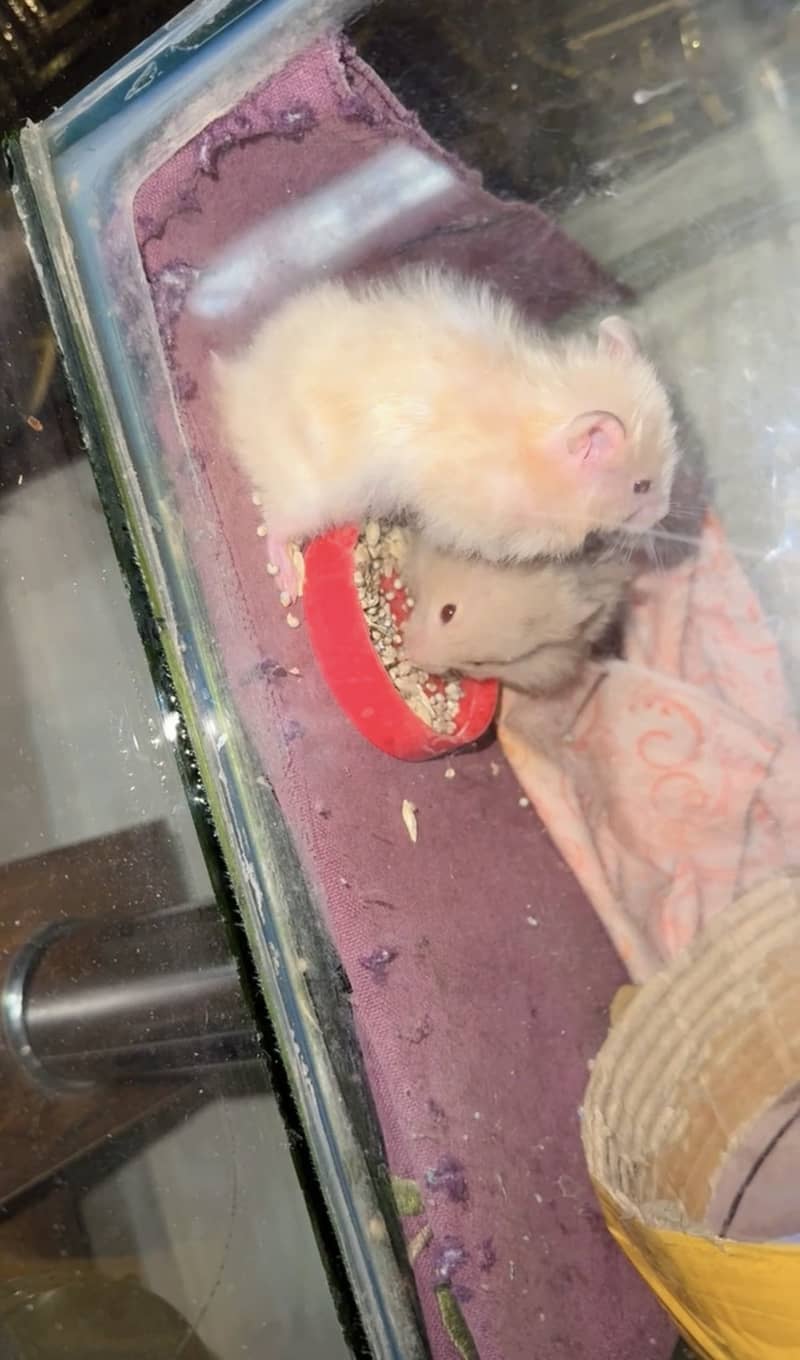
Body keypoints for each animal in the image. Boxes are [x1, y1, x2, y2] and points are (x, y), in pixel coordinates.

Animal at [214, 266, 677, 598]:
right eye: (640, 486)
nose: (664, 515)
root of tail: (238, 387)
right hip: (318, 495)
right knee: (276, 523)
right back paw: (287, 579)